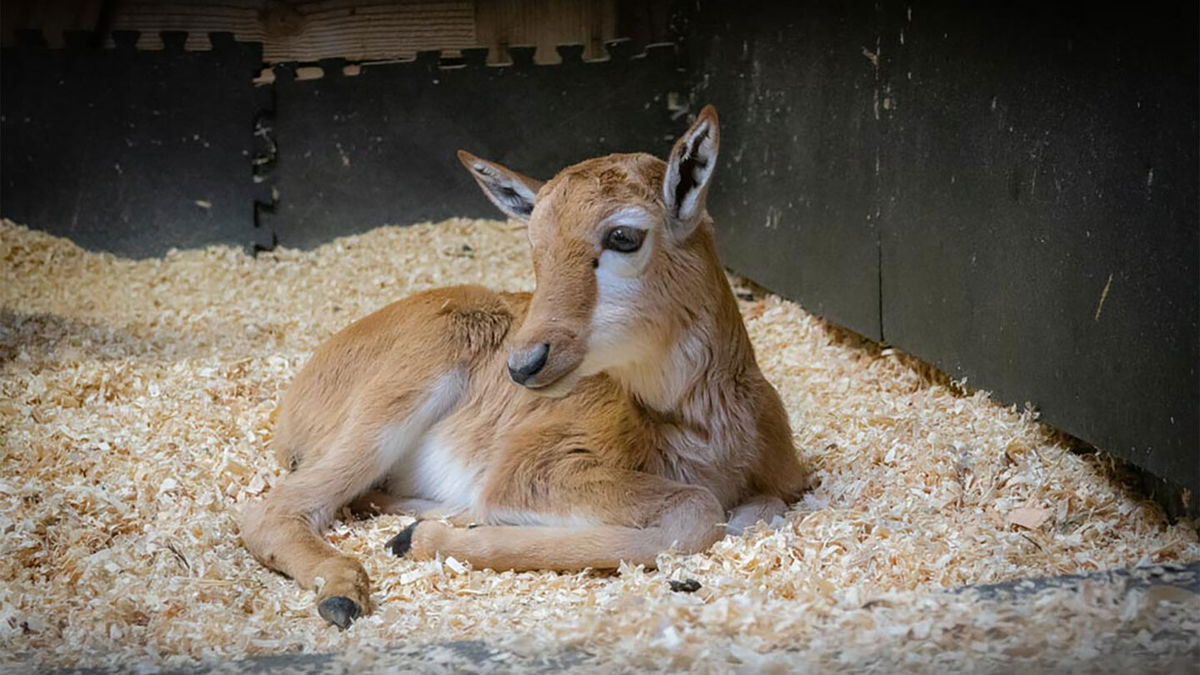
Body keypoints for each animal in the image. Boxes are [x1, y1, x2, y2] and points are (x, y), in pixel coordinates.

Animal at [238, 105, 806, 624]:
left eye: (623, 235)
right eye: (535, 246)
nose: (525, 362)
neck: (706, 433)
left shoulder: (781, 489)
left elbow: (751, 513)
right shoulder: (531, 469)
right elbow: (698, 512)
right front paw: (416, 540)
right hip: (387, 412)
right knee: (274, 511)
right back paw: (347, 590)